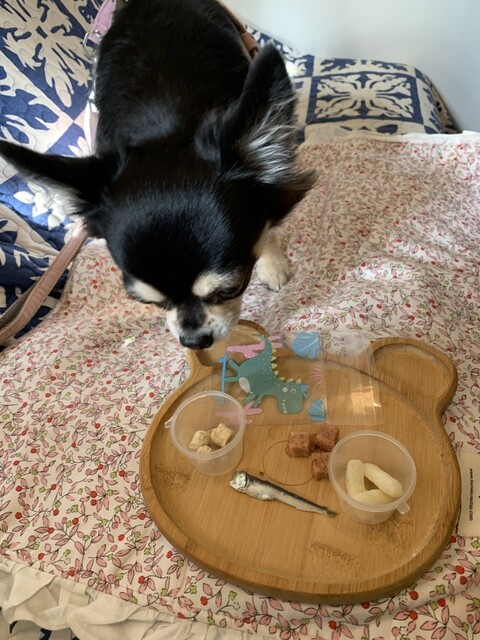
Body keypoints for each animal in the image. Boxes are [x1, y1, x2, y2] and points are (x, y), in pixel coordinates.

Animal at [0, 0, 315, 350]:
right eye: (149, 302)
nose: (193, 340)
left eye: (230, 289)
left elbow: (268, 221)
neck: (167, 125)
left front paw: (272, 265)